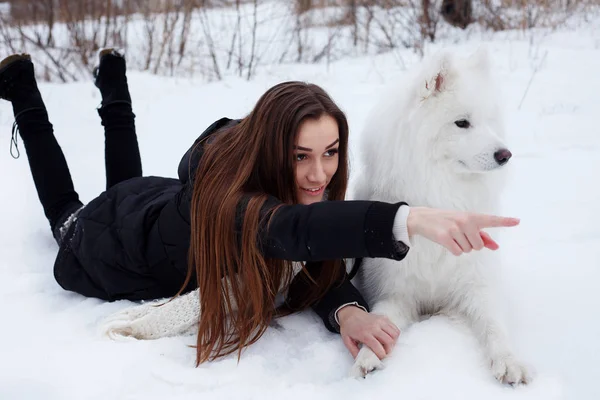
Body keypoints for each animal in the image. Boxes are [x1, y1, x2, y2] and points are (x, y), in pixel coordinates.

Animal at [350, 48, 532, 386]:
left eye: (489, 121)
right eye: (462, 123)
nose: (506, 155)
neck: (443, 192)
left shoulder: (478, 283)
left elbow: (494, 326)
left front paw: (509, 361)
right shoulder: (396, 291)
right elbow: (380, 318)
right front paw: (367, 356)